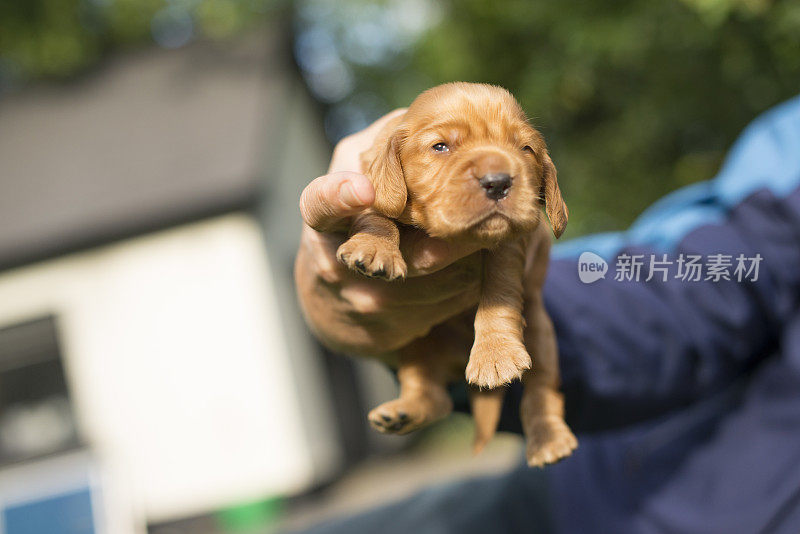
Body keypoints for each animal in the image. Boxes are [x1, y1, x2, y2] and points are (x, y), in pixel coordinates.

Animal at [336, 81, 576, 466]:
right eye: (440, 146)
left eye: (525, 149)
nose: (498, 182)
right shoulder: (369, 188)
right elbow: (377, 215)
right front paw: (373, 248)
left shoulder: (510, 243)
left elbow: (499, 289)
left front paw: (494, 354)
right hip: (416, 346)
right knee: (432, 393)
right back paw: (400, 413)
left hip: (541, 333)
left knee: (542, 391)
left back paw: (548, 439)